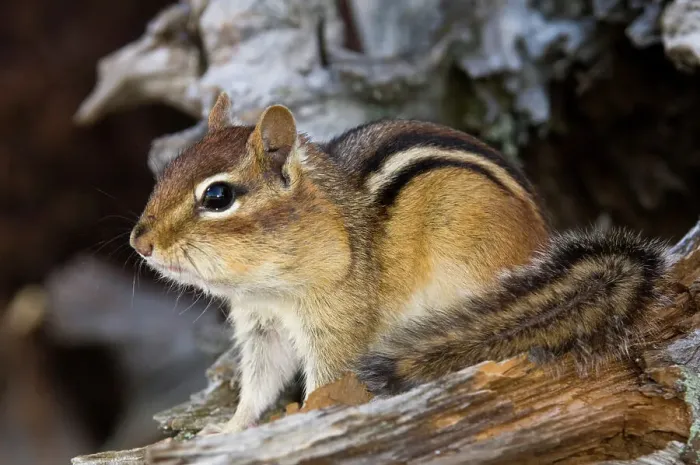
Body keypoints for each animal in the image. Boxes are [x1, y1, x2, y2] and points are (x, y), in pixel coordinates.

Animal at [129, 92, 671, 434]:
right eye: (168, 170)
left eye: (218, 196)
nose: (140, 243)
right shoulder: (263, 327)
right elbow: (259, 385)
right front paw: (230, 430)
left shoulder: (339, 319)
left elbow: (328, 378)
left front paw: (305, 415)